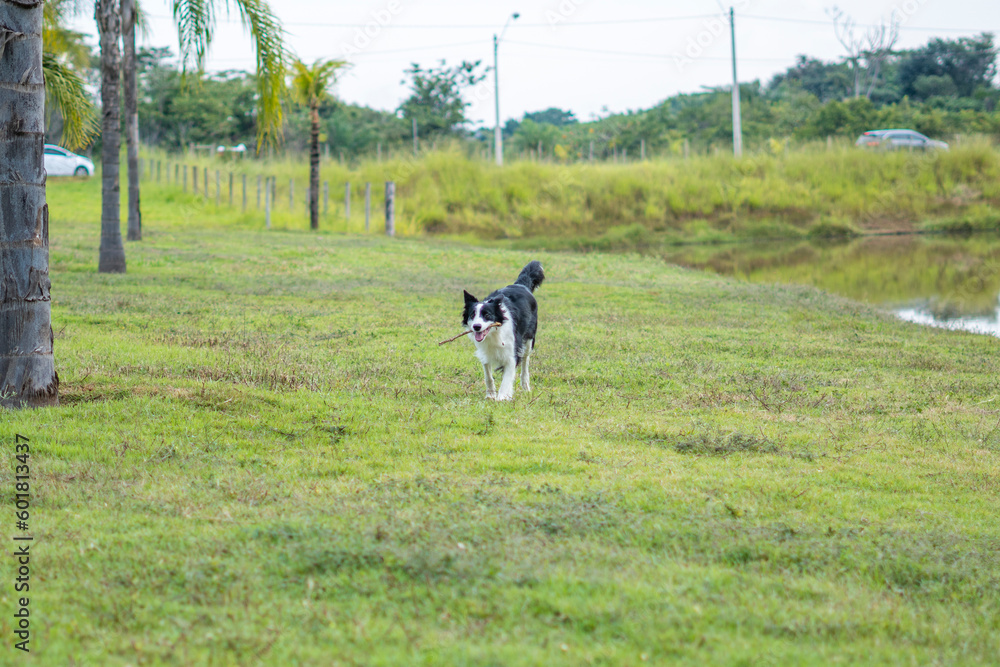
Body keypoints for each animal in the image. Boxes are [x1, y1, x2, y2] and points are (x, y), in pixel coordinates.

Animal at [462, 260, 548, 402]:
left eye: (487, 315)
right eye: (472, 315)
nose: (476, 327)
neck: (493, 333)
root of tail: (520, 285)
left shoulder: (512, 352)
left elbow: (507, 377)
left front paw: (502, 397)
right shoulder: (485, 352)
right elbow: (488, 375)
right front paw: (490, 395)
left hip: (529, 339)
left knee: (525, 361)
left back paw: (525, 386)